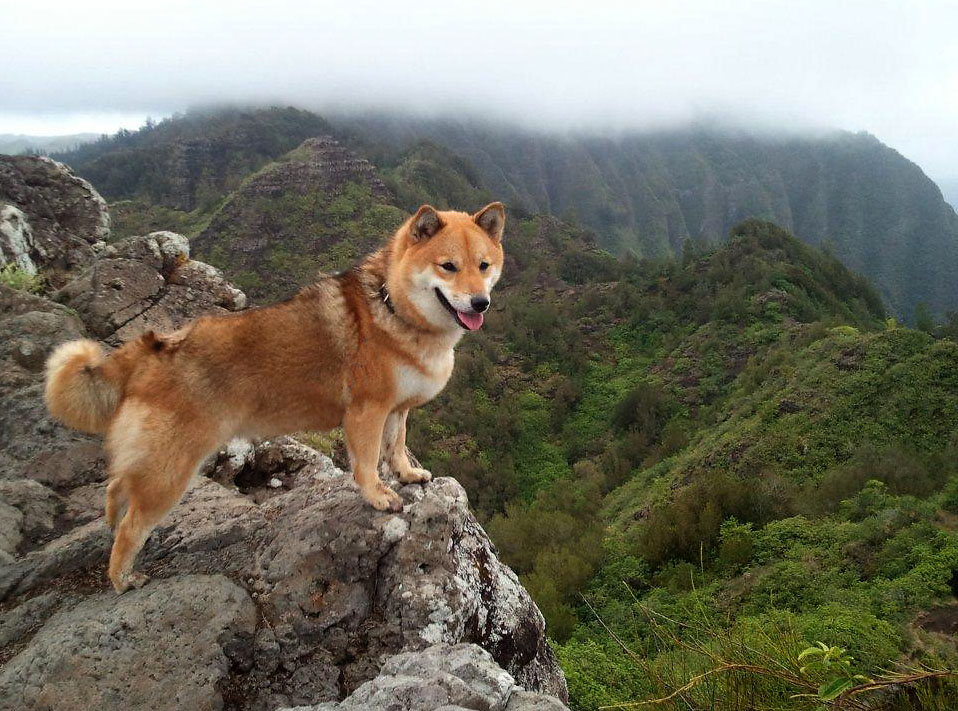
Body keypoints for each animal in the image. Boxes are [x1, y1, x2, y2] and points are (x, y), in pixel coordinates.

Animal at [43, 203, 510, 592]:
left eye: (483, 265)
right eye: (448, 266)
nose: (480, 302)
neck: (394, 308)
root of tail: (154, 346)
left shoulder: (397, 410)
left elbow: (396, 448)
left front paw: (407, 474)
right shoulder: (366, 411)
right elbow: (366, 464)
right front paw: (378, 496)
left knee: (117, 484)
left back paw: (108, 518)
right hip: (170, 470)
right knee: (131, 526)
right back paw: (122, 578)